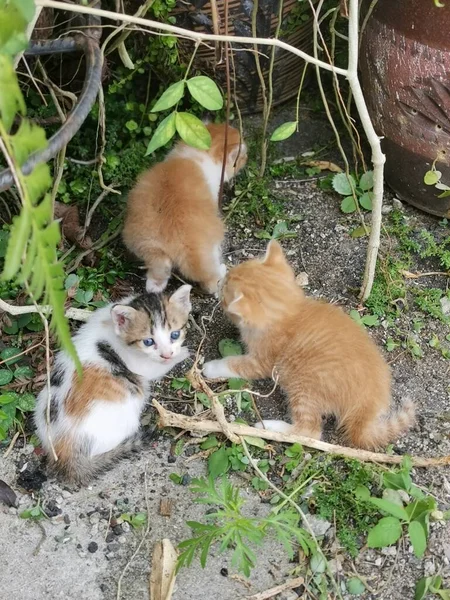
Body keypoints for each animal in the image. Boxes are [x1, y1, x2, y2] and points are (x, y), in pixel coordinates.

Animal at [33, 284, 192, 486]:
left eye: (175, 334)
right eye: (148, 341)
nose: (167, 354)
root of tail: (63, 451)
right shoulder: (141, 366)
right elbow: (157, 368)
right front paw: (183, 354)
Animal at [123, 123, 248, 296]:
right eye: (242, 157)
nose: (246, 158)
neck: (202, 153)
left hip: (147, 247)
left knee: (158, 272)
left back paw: (154, 286)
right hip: (211, 249)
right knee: (210, 281)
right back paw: (221, 272)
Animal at [204, 241, 414, 448]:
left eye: (224, 291)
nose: (219, 283)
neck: (290, 312)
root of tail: (366, 405)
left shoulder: (262, 361)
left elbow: (236, 364)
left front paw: (211, 367)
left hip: (304, 388)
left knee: (310, 431)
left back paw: (271, 427)